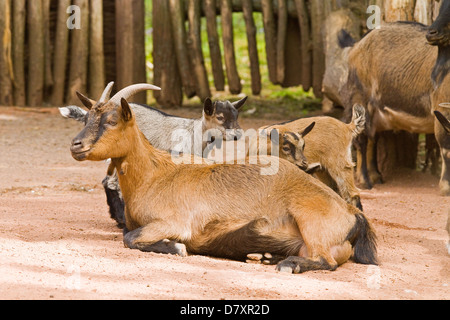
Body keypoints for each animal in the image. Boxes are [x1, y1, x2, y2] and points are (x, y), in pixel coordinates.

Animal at [59, 84, 246, 226]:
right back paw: (121, 219)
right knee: (111, 182)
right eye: (220, 117)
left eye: (236, 115)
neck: (194, 133)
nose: (238, 134)